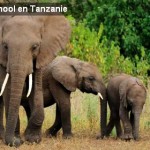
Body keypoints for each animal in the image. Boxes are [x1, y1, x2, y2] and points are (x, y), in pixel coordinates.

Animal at [0, 15, 71, 146]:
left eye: (35, 47)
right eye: (5, 46)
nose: (17, 142)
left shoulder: (40, 56)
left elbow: (36, 87)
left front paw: (33, 139)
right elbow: (8, 89)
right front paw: (17, 139)